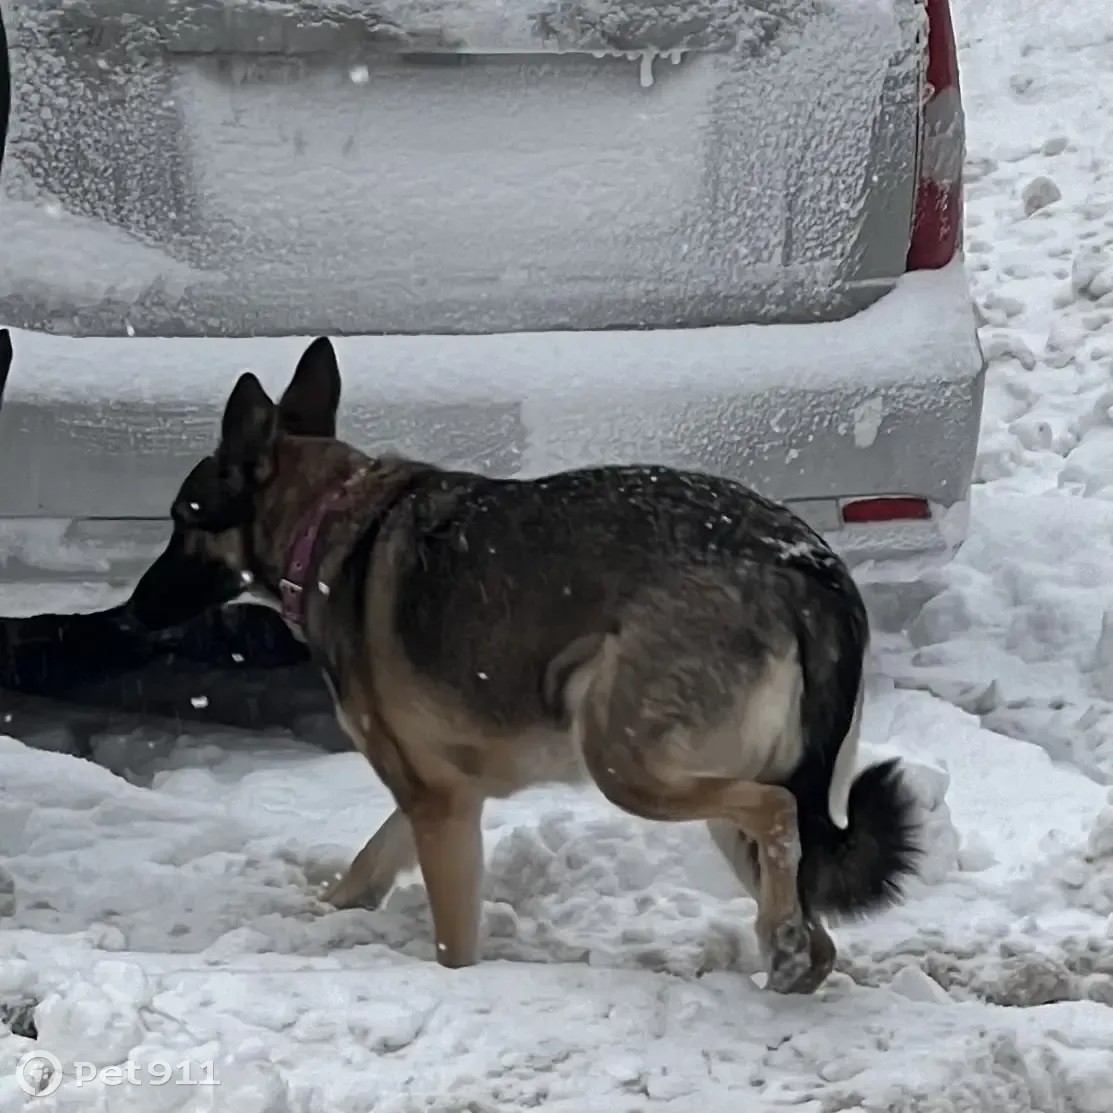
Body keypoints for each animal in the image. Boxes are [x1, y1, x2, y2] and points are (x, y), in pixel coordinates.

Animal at [126, 333, 921, 997]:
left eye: (181, 517)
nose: (130, 612)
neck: (325, 522)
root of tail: (803, 562)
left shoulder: (440, 806)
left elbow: (451, 943)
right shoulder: (440, 795)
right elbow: (367, 863)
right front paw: (326, 913)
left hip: (623, 760)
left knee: (777, 811)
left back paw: (778, 941)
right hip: (712, 784)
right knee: (815, 929)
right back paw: (786, 953)